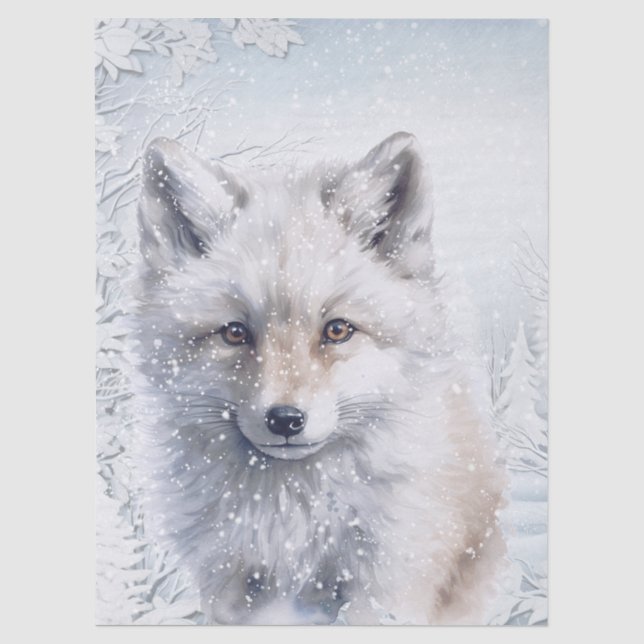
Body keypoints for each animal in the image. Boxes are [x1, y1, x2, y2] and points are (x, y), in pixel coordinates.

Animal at [130, 131, 506, 625]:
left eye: (337, 330)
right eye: (235, 333)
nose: (285, 420)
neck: (294, 523)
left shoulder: (387, 586)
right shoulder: (228, 588)